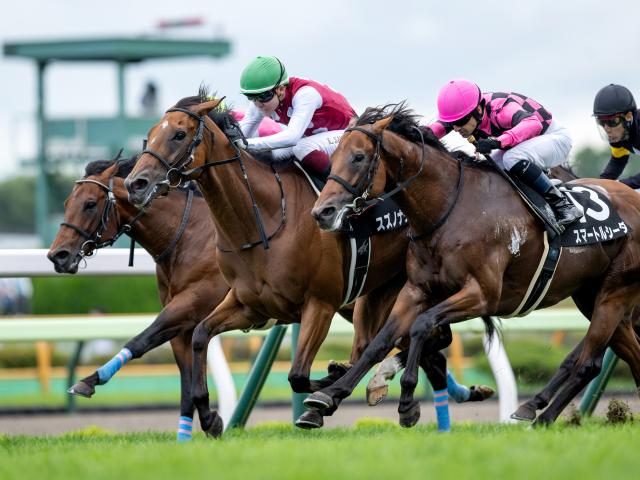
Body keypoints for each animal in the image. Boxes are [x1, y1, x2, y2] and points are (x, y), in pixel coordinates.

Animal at [123, 92, 416, 436]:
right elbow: (199, 336)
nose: (135, 184)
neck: (264, 218)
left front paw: (329, 384)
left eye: (179, 134)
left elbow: (298, 375)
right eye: (153, 132)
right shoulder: (250, 305)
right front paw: (210, 417)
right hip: (377, 291)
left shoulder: (320, 303)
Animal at [306, 103, 640, 426]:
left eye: (358, 157)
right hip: (592, 296)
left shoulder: (481, 295)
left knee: (588, 362)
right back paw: (537, 411)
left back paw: (541, 416)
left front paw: (406, 401)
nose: (322, 212)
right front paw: (329, 395)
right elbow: (380, 341)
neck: (450, 210)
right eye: (333, 157)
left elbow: (421, 325)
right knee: (618, 356)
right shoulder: (416, 290)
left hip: (613, 294)